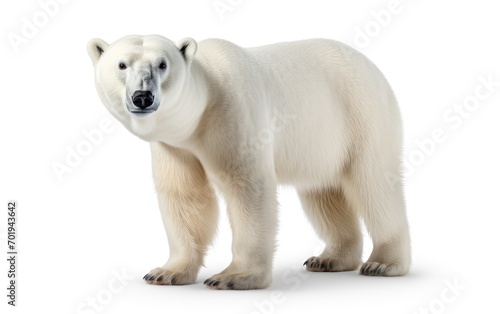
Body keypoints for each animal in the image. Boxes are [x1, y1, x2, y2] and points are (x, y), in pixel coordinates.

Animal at [88, 35, 412, 290]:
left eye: (162, 64)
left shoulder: (234, 113)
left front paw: (232, 277)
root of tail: (375, 68)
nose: (143, 96)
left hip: (361, 114)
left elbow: (247, 188)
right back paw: (330, 258)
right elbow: (185, 197)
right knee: (323, 192)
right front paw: (166, 272)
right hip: (321, 142)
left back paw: (383, 264)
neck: (199, 113)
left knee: (373, 185)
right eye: (122, 65)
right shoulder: (175, 147)